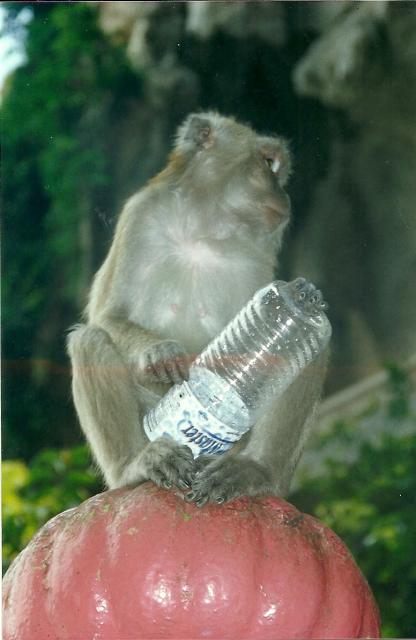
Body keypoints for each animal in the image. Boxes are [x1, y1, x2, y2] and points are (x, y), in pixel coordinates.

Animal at [67, 112, 328, 506]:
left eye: (279, 170)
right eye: (267, 163)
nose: (284, 194)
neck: (204, 228)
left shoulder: (257, 254)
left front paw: (301, 297)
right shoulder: (141, 216)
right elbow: (108, 315)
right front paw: (159, 351)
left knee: (308, 354)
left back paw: (257, 471)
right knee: (90, 340)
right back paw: (134, 465)